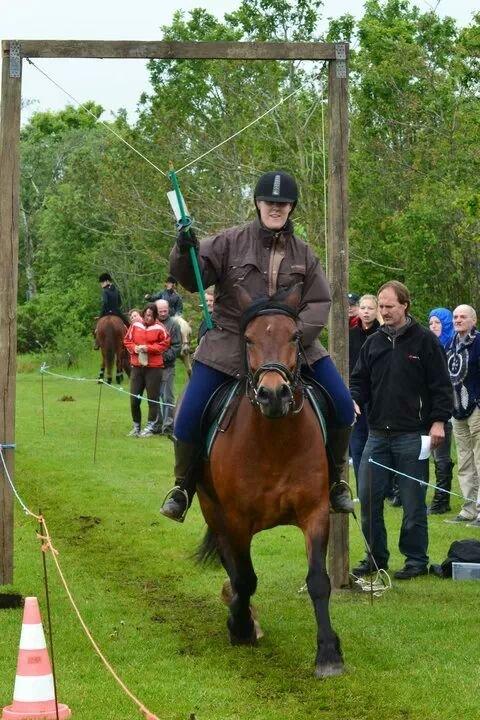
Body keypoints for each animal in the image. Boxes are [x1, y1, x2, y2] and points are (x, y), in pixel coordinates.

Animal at [196, 284, 344, 676]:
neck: (275, 441)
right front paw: (241, 626)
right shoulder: (235, 519)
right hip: (211, 510)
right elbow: (245, 577)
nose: (273, 394)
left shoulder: (315, 512)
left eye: (294, 335)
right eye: (248, 339)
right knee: (233, 567)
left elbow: (318, 581)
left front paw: (328, 653)